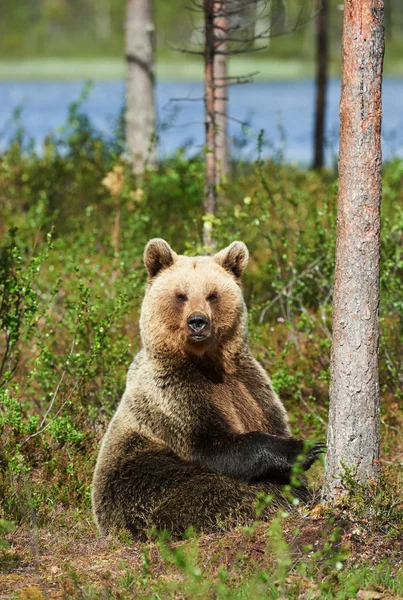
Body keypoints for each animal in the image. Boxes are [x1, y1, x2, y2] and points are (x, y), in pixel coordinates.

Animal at [92, 239, 326, 540]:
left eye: (212, 295)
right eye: (181, 295)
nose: (197, 321)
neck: (207, 363)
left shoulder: (249, 385)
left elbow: (271, 420)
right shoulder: (174, 397)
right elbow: (215, 446)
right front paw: (304, 448)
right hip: (138, 478)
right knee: (212, 493)